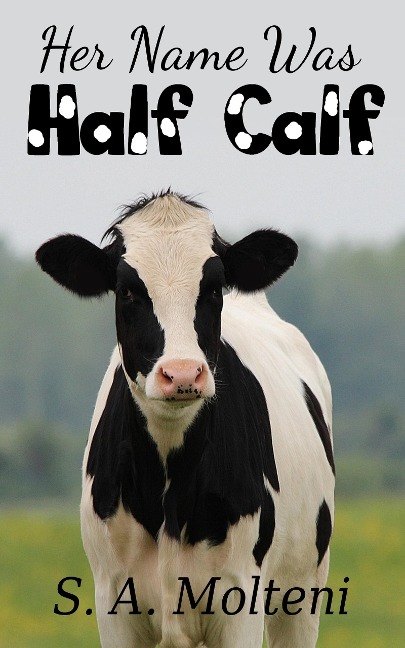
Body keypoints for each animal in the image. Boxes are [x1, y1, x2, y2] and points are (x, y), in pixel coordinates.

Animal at [36, 191, 334, 648]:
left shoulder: (240, 599)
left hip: (302, 591)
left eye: (212, 288)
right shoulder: (114, 604)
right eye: (127, 291)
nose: (181, 374)